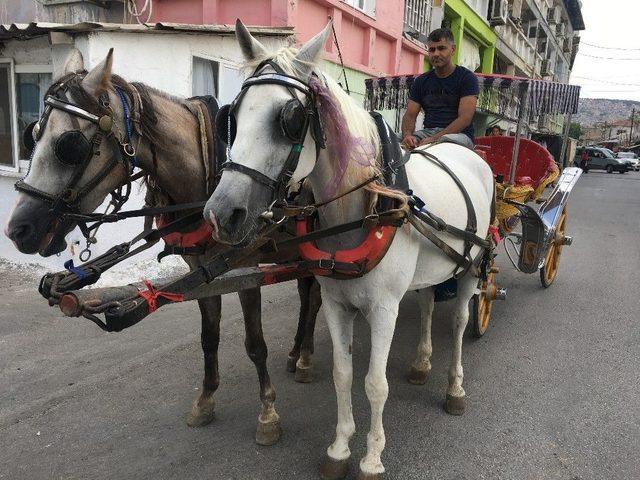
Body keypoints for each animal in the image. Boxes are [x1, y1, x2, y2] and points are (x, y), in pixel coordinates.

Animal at [3, 48, 320, 446]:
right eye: (34, 134)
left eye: (70, 146)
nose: (18, 230)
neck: (208, 176)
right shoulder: (201, 271)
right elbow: (209, 338)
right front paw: (205, 400)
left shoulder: (245, 271)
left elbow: (255, 344)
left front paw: (267, 412)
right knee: (308, 295)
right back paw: (297, 353)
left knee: (314, 297)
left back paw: (305, 358)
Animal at [205, 19, 496, 480]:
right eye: (231, 117)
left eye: (290, 119)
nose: (220, 215)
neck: (365, 205)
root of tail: (464, 152)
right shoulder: (336, 302)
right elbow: (343, 375)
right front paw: (340, 448)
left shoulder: (383, 309)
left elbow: (375, 383)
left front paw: (372, 458)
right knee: (428, 305)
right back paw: (422, 363)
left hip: (469, 266)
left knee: (458, 321)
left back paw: (454, 387)